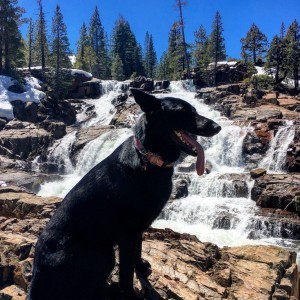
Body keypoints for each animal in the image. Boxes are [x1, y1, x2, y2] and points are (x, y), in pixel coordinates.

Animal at [27, 89, 220, 300]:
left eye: (194, 110)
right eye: (182, 112)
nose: (217, 127)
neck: (149, 158)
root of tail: (36, 280)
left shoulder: (139, 229)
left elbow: (138, 252)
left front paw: (141, 268)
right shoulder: (127, 235)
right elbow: (125, 273)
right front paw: (130, 294)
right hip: (104, 255)